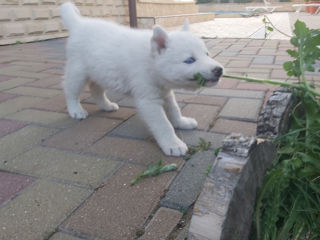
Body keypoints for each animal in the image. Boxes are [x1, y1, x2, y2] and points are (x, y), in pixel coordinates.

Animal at [59, 2, 222, 158]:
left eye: (207, 54)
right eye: (189, 60)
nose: (219, 70)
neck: (151, 62)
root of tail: (79, 23)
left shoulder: (165, 92)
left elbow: (174, 109)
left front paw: (182, 122)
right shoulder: (148, 101)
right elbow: (163, 124)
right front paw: (173, 144)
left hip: (101, 72)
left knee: (95, 89)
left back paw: (107, 105)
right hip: (78, 72)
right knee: (70, 90)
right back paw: (76, 111)